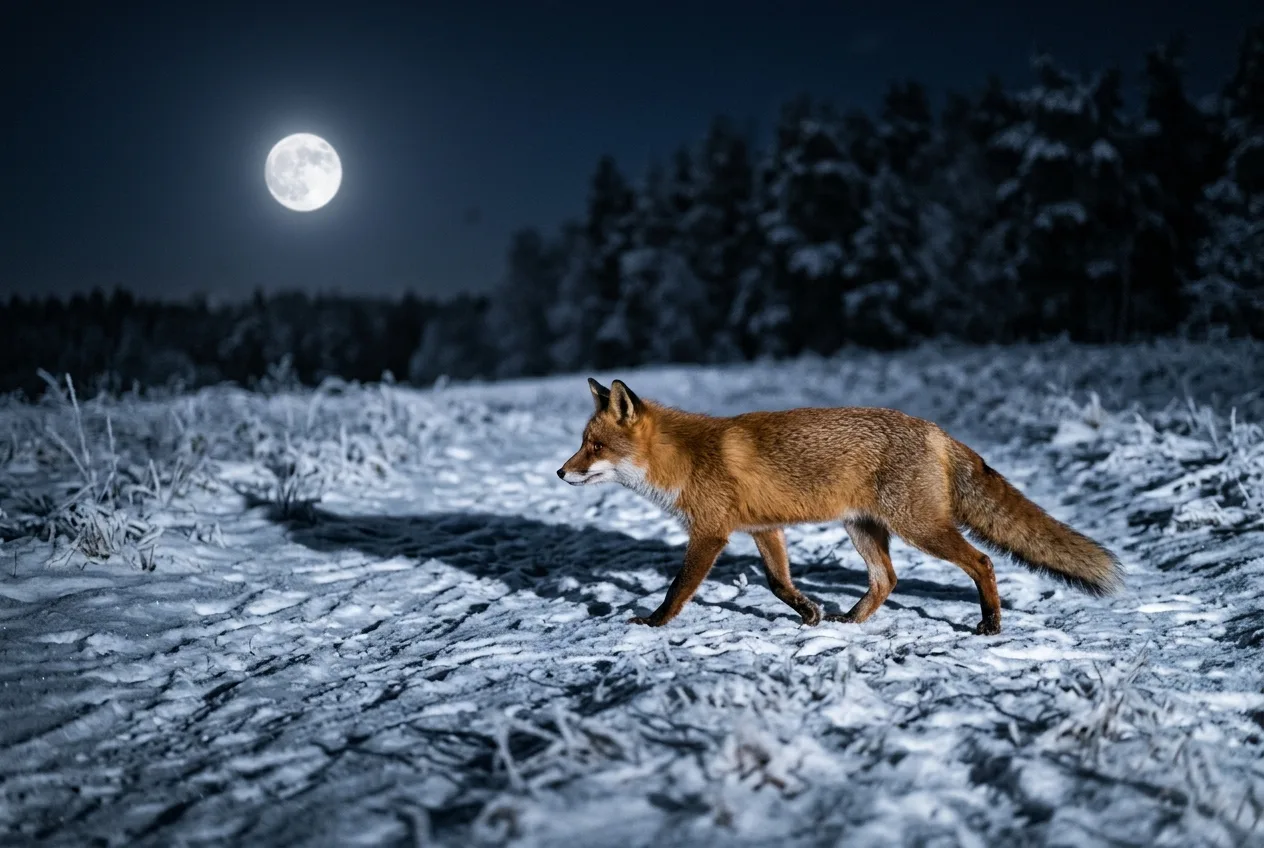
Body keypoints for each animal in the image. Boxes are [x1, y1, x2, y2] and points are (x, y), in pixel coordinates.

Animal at [557, 378, 1122, 635]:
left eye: (594, 446)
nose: (561, 473)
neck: (683, 458)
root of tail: (935, 430)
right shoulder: (763, 528)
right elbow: (778, 583)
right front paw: (809, 611)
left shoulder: (711, 532)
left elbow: (678, 588)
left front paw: (654, 623)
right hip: (863, 529)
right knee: (887, 579)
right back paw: (851, 619)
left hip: (918, 527)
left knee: (981, 562)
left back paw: (990, 623)